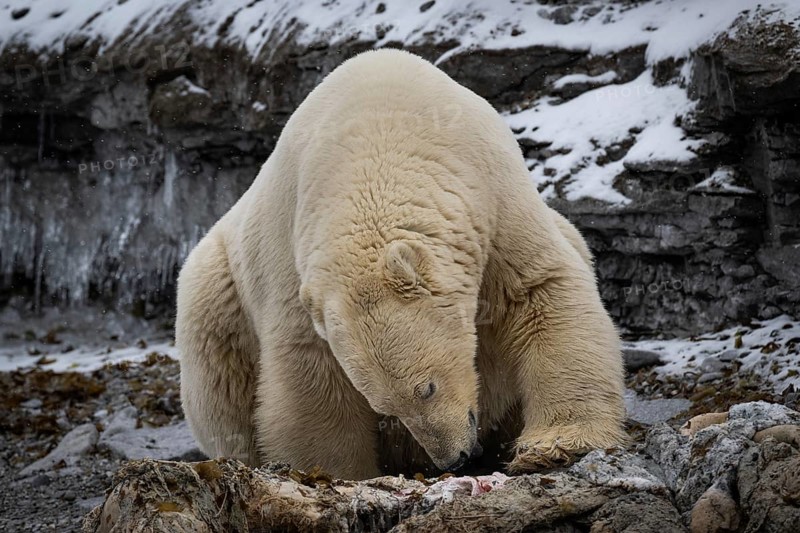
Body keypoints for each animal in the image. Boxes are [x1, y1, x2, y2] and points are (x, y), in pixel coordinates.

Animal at [177, 49, 626, 480]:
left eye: (427, 388)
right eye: (386, 408)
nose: (453, 458)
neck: (384, 135)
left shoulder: (491, 200)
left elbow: (539, 291)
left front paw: (555, 446)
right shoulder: (295, 261)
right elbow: (310, 372)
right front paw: (337, 474)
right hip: (218, 284)